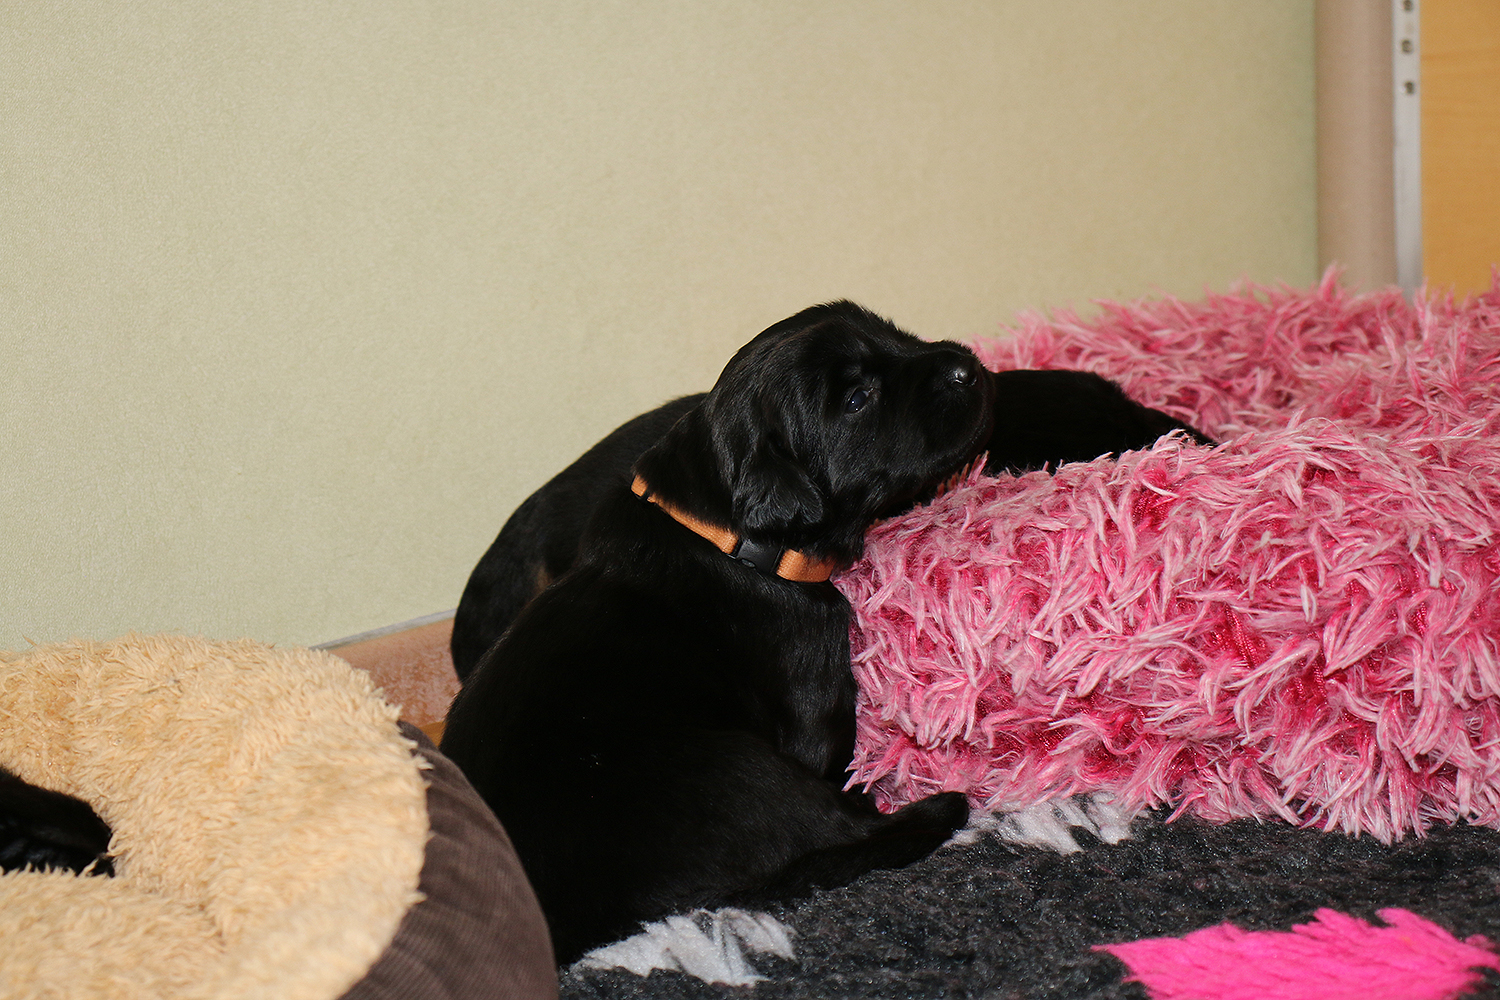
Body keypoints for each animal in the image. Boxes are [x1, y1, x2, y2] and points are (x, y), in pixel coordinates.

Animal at [441, 301, 997, 962]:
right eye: (858, 398)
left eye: (893, 332)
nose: (968, 364)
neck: (726, 534)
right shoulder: (815, 710)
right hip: (746, 771)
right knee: (848, 831)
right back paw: (945, 807)